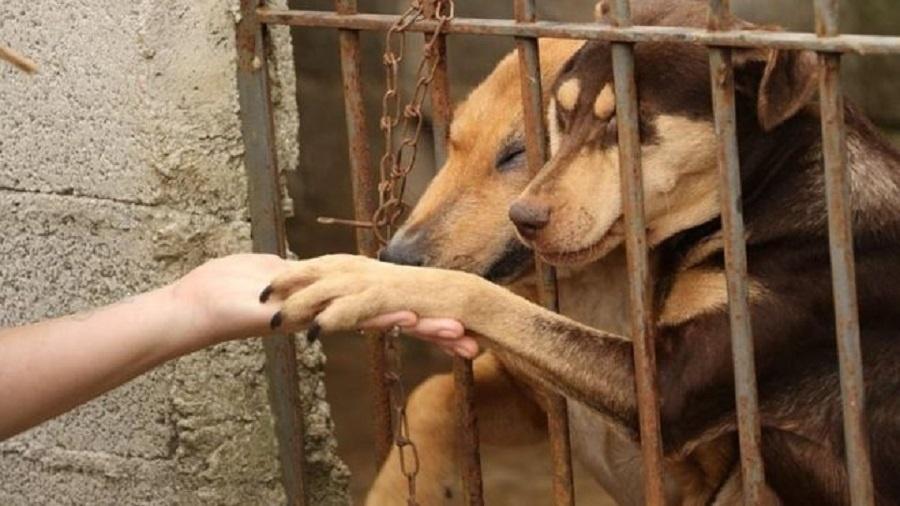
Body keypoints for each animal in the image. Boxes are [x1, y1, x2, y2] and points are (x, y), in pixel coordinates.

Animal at [264, 1, 900, 504]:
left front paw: (364, 280)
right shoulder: (536, 397)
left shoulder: (672, 401)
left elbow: (479, 296)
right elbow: (432, 392)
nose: (398, 255)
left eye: (516, 153)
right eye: (451, 144)